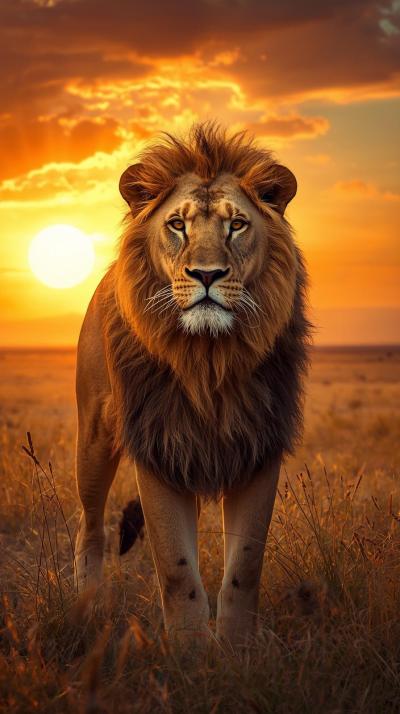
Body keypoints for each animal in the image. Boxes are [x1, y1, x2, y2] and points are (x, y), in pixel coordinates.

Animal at [75, 123, 310, 646]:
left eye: (236, 225)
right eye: (177, 225)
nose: (206, 274)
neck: (208, 359)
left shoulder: (258, 446)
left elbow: (245, 566)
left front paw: (238, 649)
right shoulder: (158, 448)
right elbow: (176, 566)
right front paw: (188, 650)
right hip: (94, 437)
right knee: (91, 525)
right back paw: (86, 604)